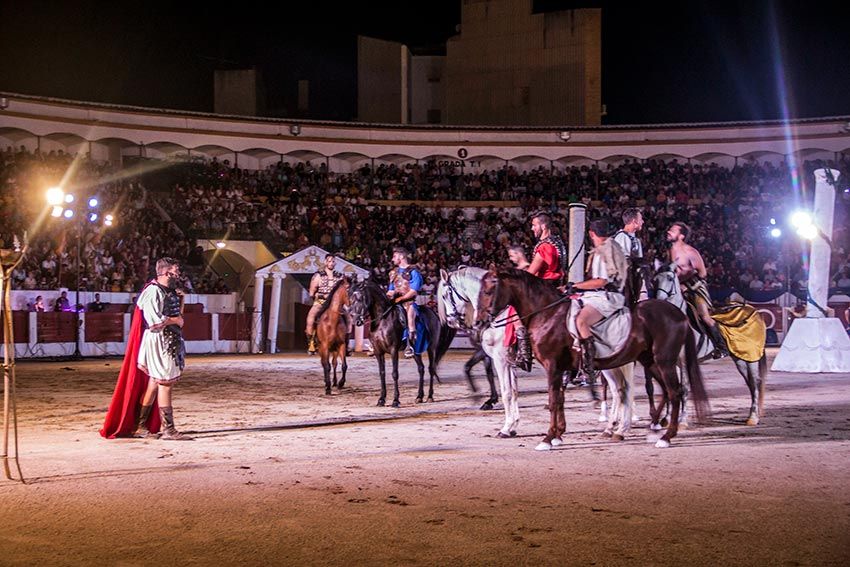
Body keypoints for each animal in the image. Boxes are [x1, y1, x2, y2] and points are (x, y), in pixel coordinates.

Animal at [440, 268, 520, 438]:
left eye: (444, 295)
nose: (450, 321)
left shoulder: (500, 359)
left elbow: (507, 392)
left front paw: (506, 427)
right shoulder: (508, 361)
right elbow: (514, 391)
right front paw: (513, 425)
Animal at [474, 268, 704, 450]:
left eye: (488, 291)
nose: (478, 322)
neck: (548, 314)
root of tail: (679, 314)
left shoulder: (551, 366)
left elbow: (550, 400)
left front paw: (546, 438)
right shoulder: (561, 368)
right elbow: (558, 399)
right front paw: (557, 435)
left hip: (664, 362)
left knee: (673, 392)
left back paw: (665, 436)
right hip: (651, 362)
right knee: (659, 391)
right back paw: (651, 429)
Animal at [648, 266, 768, 426]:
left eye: (670, 278)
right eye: (653, 280)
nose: (659, 300)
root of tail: (755, 311)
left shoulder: (684, 361)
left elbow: (684, 388)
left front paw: (682, 420)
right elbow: (669, 387)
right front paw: (666, 418)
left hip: (751, 359)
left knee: (755, 382)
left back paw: (753, 417)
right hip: (740, 359)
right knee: (750, 383)